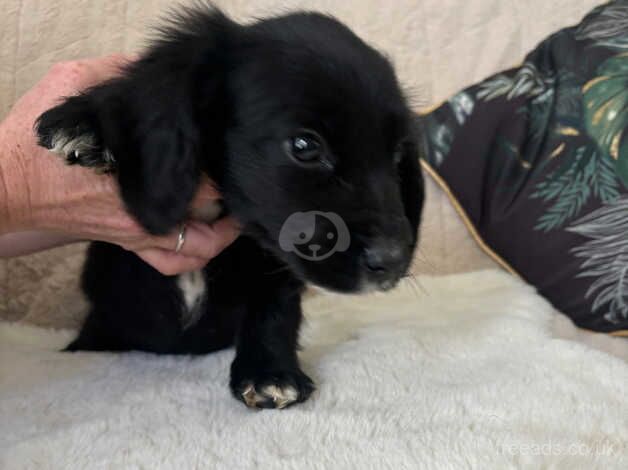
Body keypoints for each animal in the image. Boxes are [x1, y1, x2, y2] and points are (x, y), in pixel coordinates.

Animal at [35, 4, 426, 408]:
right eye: (304, 145)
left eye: (398, 154)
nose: (392, 263)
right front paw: (85, 120)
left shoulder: (274, 257)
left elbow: (274, 305)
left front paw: (271, 373)